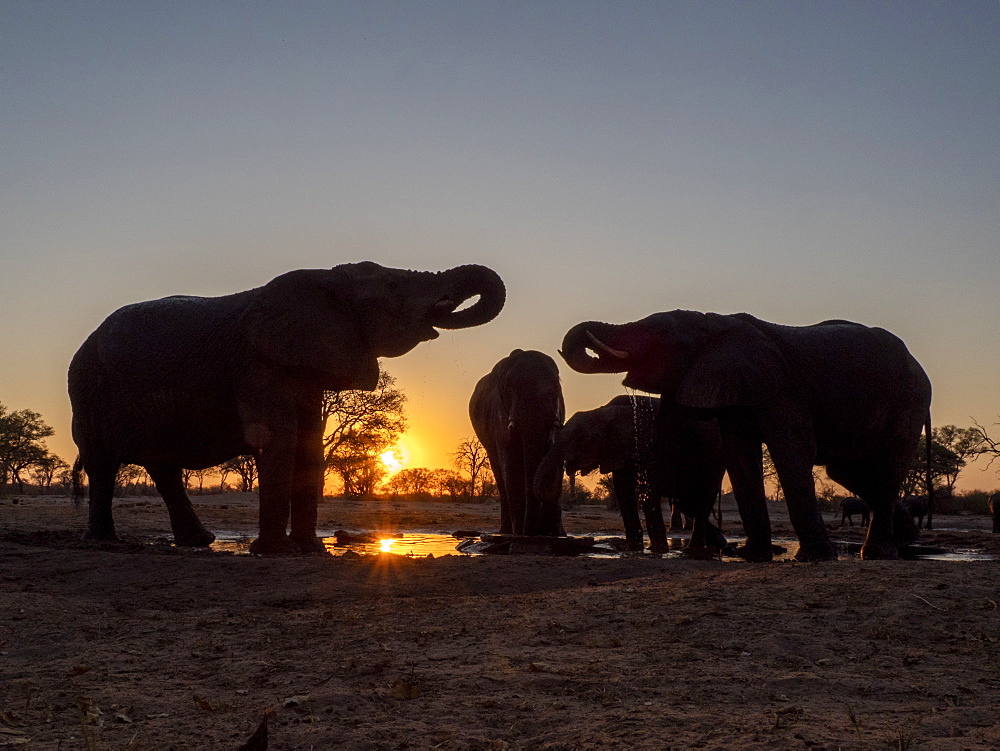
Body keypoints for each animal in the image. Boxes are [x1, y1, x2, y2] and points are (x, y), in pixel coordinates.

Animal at [68, 262, 508, 556]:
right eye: (394, 286)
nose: (446, 303)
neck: (326, 279)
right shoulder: (260, 365)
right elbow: (277, 441)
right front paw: (274, 553)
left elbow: (310, 445)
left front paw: (310, 550)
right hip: (88, 386)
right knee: (103, 463)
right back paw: (105, 543)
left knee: (163, 467)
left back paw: (199, 543)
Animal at [468, 350, 564, 536]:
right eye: (509, 387)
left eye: (557, 386)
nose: (532, 532)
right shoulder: (499, 416)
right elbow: (510, 464)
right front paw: (521, 535)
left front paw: (554, 535)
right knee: (499, 471)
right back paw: (507, 532)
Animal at [536, 396, 724, 556]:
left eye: (580, 437)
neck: (606, 411)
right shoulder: (620, 450)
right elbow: (623, 490)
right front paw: (634, 549)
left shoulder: (650, 447)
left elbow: (647, 491)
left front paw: (657, 551)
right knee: (686, 503)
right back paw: (719, 545)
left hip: (714, 461)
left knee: (702, 499)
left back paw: (693, 551)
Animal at [560, 308, 932, 560]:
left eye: (659, 334)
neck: (716, 324)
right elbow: (739, 455)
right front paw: (753, 555)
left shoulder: (782, 387)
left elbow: (791, 450)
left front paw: (814, 558)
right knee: (847, 471)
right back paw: (905, 539)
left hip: (908, 401)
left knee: (887, 466)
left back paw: (879, 553)